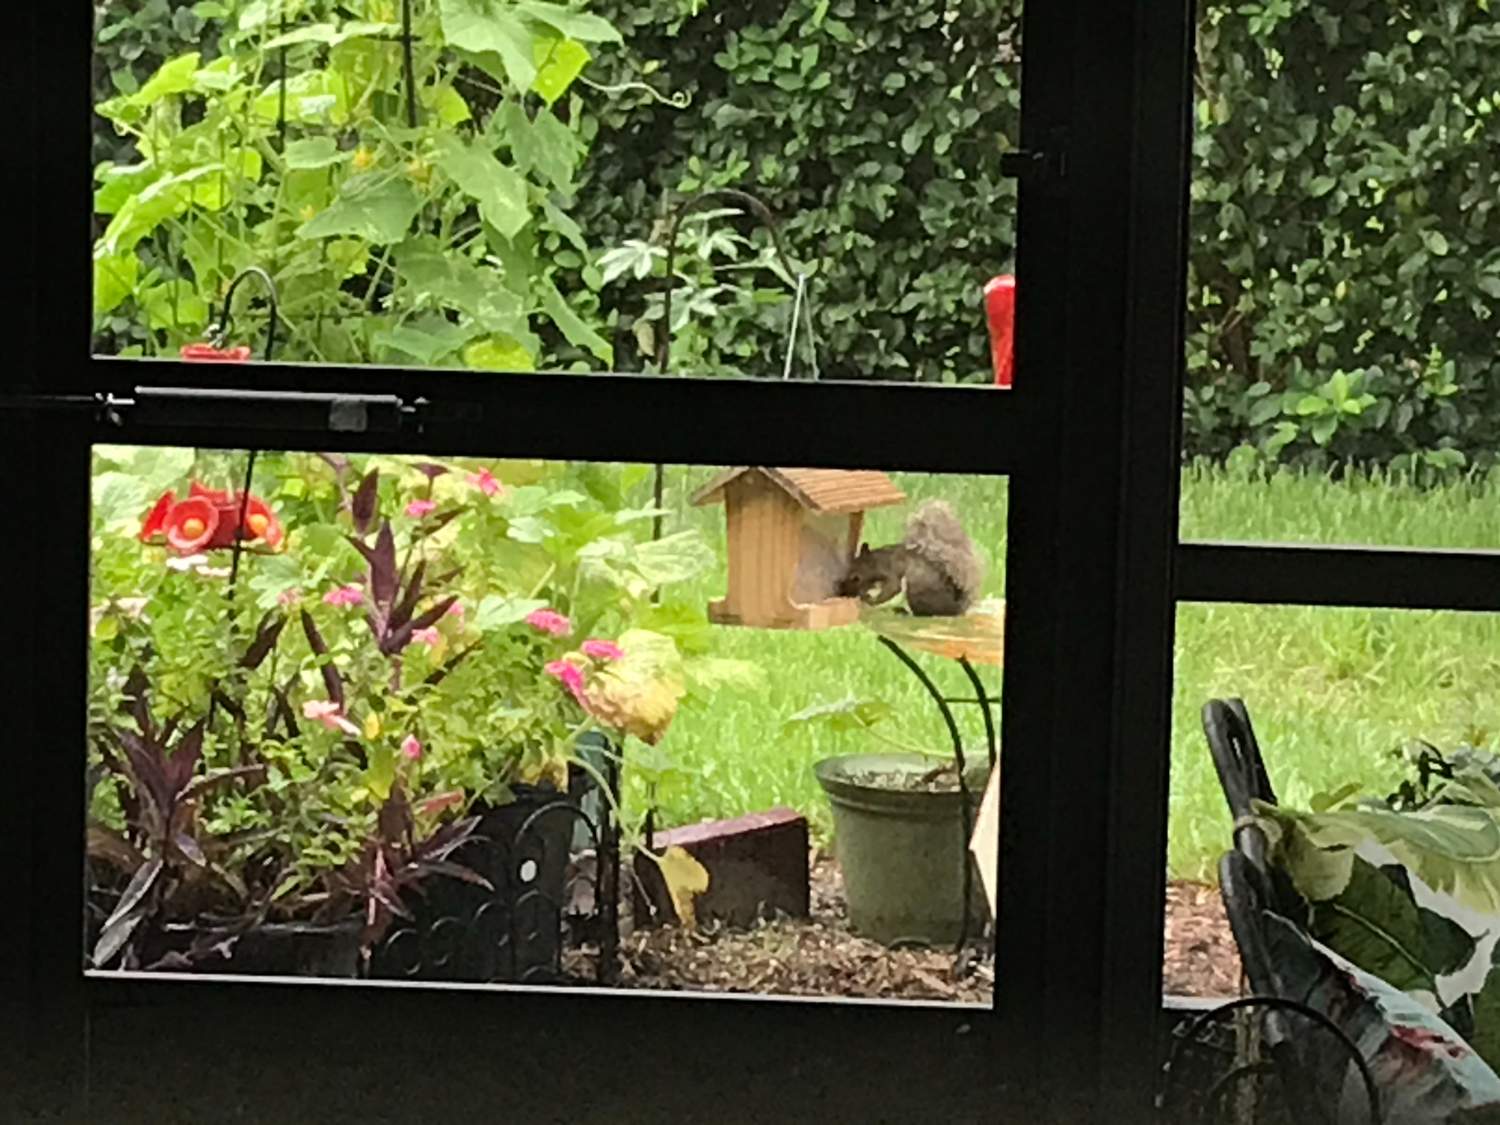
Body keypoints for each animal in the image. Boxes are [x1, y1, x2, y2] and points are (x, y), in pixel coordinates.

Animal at [839, 500, 984, 617]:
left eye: (855, 578)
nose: (845, 593)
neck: (877, 560)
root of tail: (956, 609)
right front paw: (865, 595)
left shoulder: (889, 570)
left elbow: (894, 587)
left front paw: (871, 600)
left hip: (916, 590)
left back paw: (905, 612)